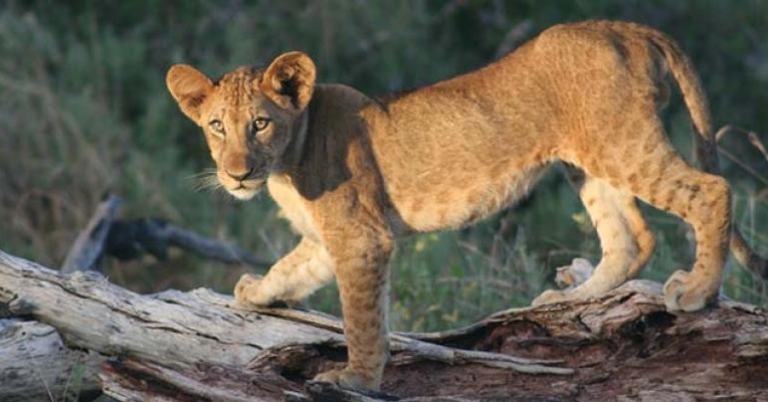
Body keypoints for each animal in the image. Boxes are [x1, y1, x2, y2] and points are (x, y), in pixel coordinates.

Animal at [166, 20, 767, 392]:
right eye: (216, 126)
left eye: (259, 124)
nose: (237, 173)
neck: (289, 157)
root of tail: (624, 26)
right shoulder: (332, 236)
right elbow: (291, 268)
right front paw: (254, 291)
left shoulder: (361, 237)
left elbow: (363, 318)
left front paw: (355, 380)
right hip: (590, 159)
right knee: (632, 239)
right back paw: (565, 301)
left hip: (623, 144)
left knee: (712, 190)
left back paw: (697, 290)